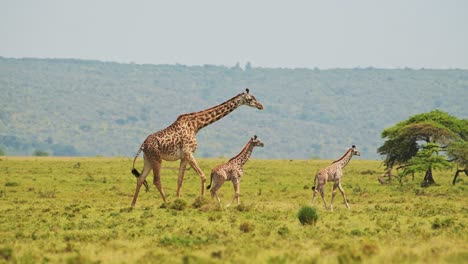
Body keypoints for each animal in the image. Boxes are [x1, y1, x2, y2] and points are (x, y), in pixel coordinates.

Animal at [132, 89, 264, 207]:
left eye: (255, 97)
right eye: (250, 99)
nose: (260, 106)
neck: (197, 125)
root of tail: (143, 145)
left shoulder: (184, 156)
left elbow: (180, 180)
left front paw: (178, 200)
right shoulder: (189, 153)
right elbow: (203, 176)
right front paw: (202, 200)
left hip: (148, 159)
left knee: (140, 178)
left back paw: (133, 205)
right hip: (157, 158)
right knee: (156, 180)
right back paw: (166, 202)